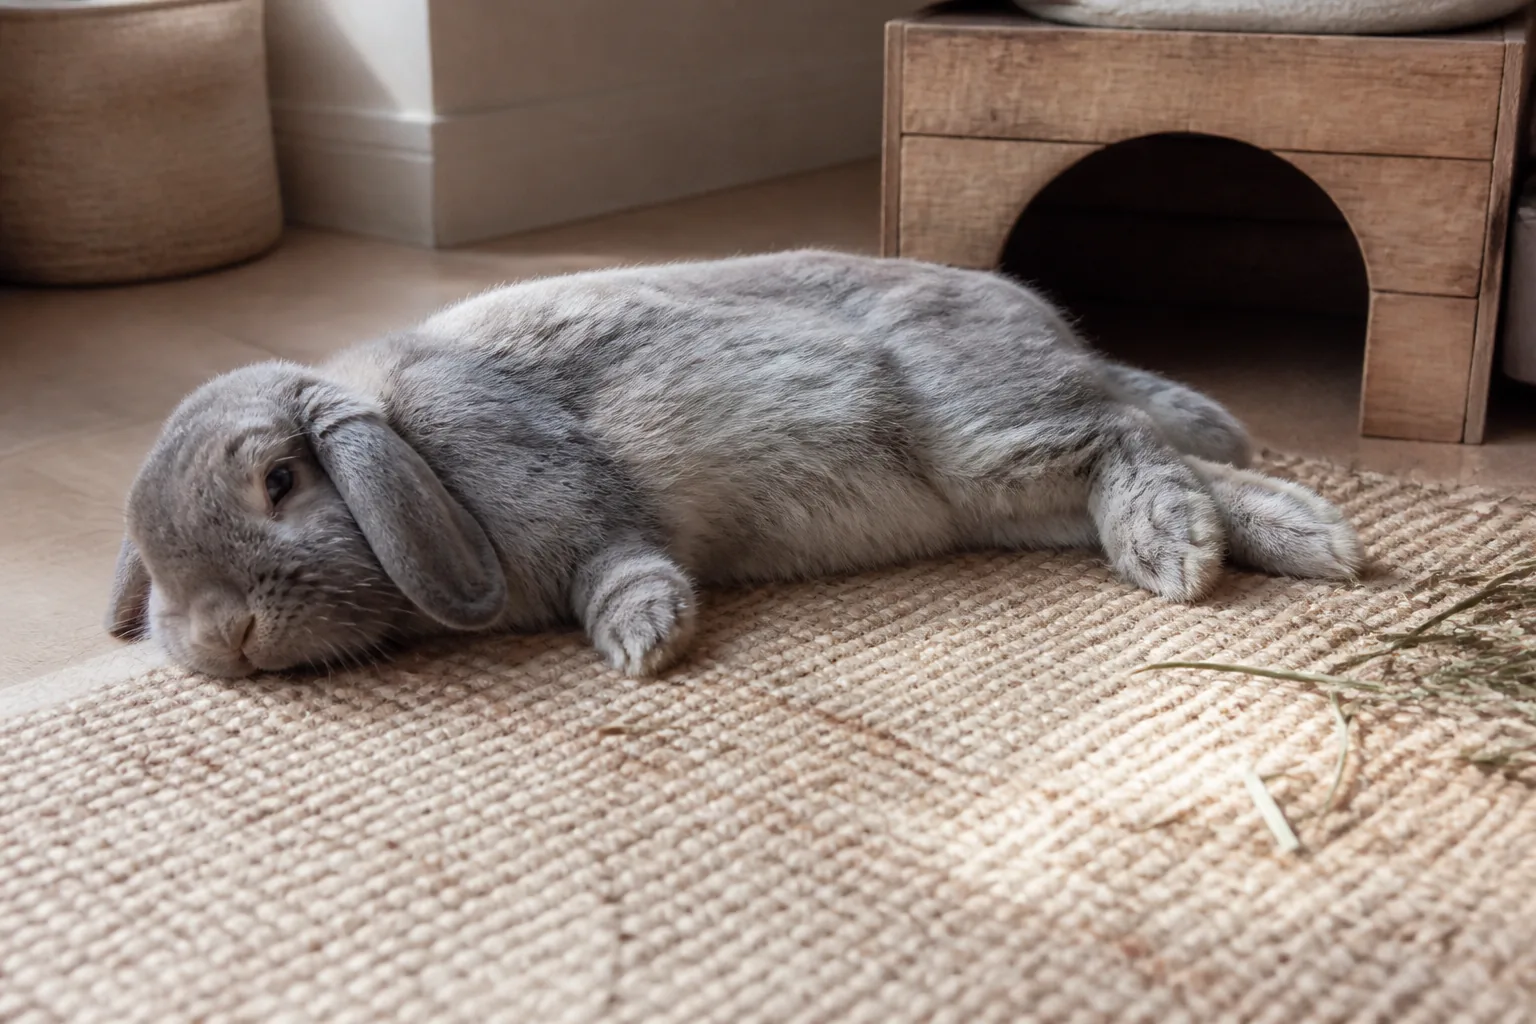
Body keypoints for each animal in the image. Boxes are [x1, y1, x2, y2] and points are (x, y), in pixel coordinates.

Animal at [106, 249, 1362, 679]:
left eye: (280, 480)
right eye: (154, 565)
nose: (223, 636)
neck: (409, 441)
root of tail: (1051, 335)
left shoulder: (568, 495)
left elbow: (621, 559)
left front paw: (644, 640)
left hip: (988, 438)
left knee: (1127, 440)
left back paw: (1175, 546)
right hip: (1011, 495)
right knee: (1166, 451)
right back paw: (1304, 536)